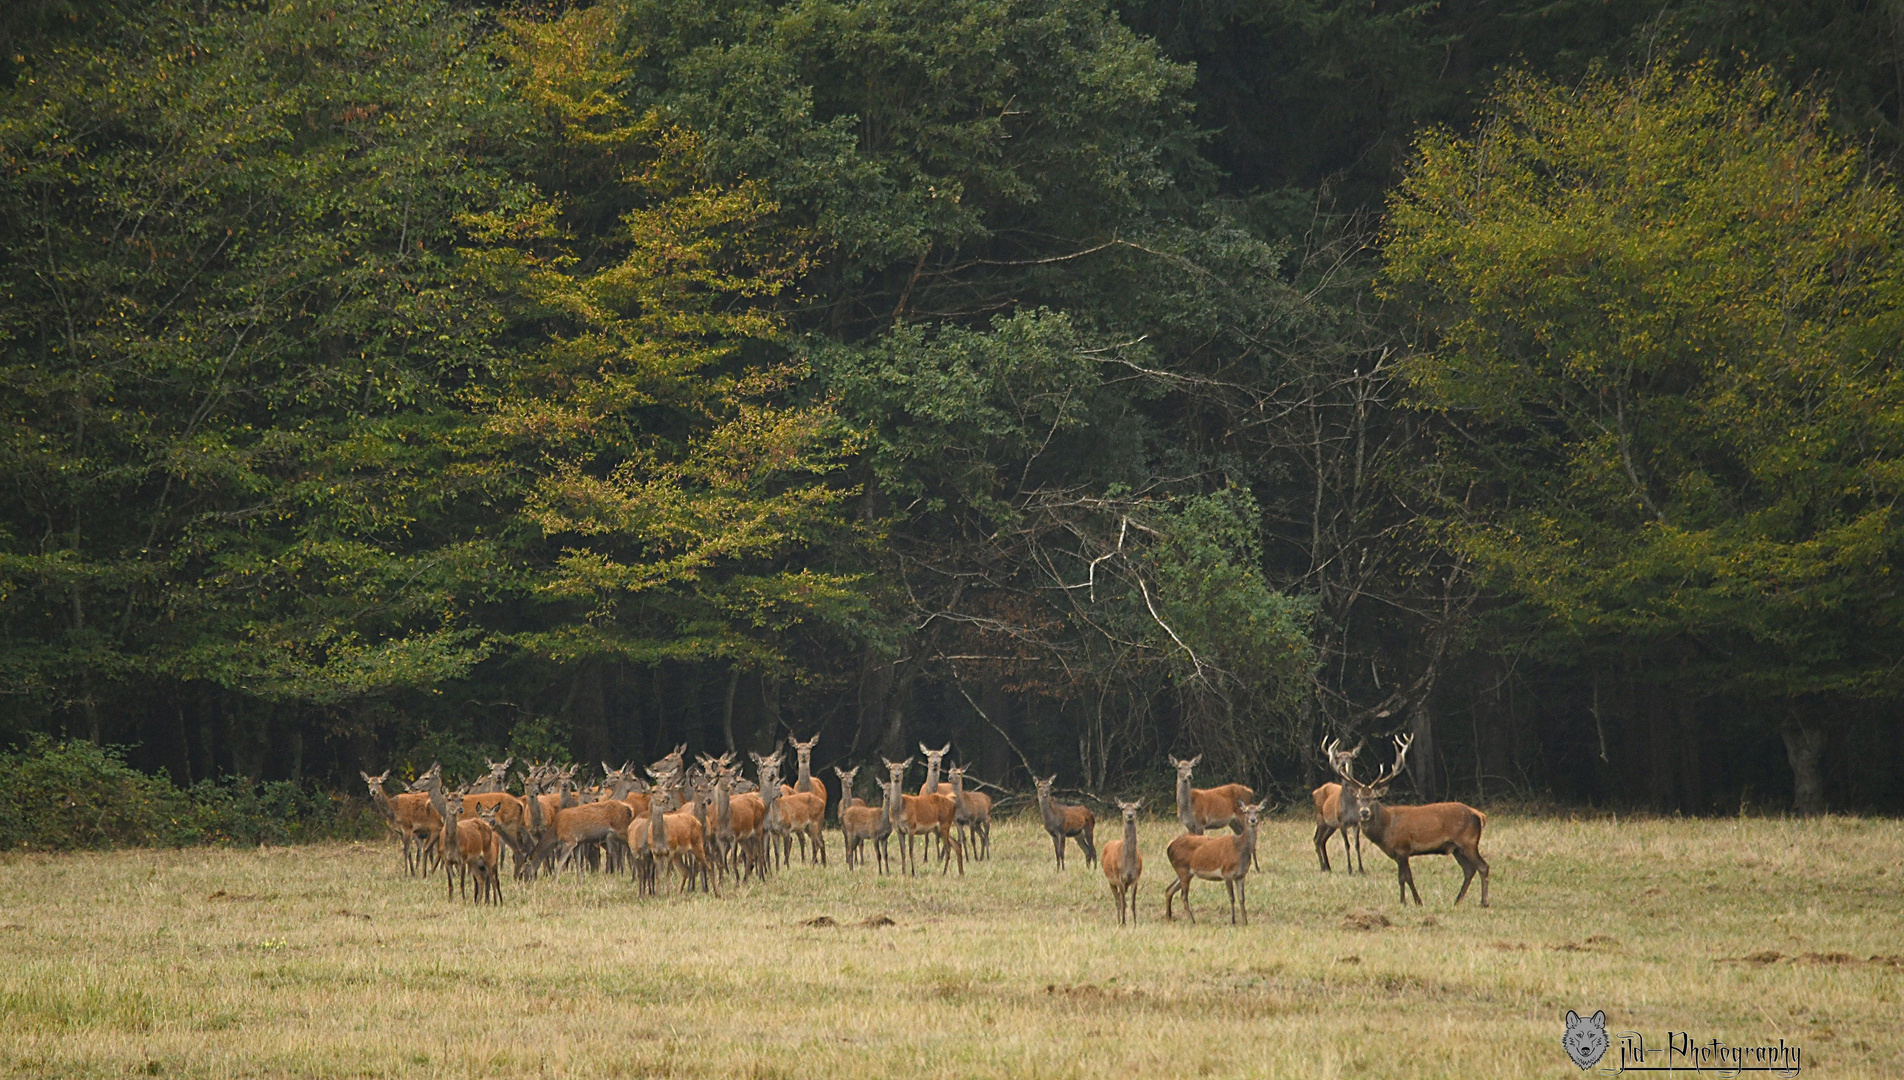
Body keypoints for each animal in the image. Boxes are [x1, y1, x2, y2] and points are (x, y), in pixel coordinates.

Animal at [1309, 739, 1370, 876]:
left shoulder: (1357, 822)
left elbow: (1357, 844)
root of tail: (1314, 792)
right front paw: (1350, 870)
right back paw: (1323, 867)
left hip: (1331, 825)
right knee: (1316, 839)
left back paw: (1328, 867)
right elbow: (1346, 845)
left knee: (1322, 840)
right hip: (1320, 818)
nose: (1343, 764)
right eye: (1338, 757)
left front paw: (1361, 869)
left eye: (1350, 757)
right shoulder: (1342, 822)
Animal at [1325, 735, 1485, 902]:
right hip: (1456, 848)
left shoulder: (1403, 848)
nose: (1364, 812)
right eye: (1358, 797)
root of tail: (1479, 815)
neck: (1387, 827)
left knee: (1483, 867)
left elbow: (1407, 877)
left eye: (1374, 798)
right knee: (1469, 870)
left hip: (1468, 842)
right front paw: (1403, 901)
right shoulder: (1397, 853)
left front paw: (1417, 901)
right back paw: (1457, 900)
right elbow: (1401, 878)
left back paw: (1483, 902)